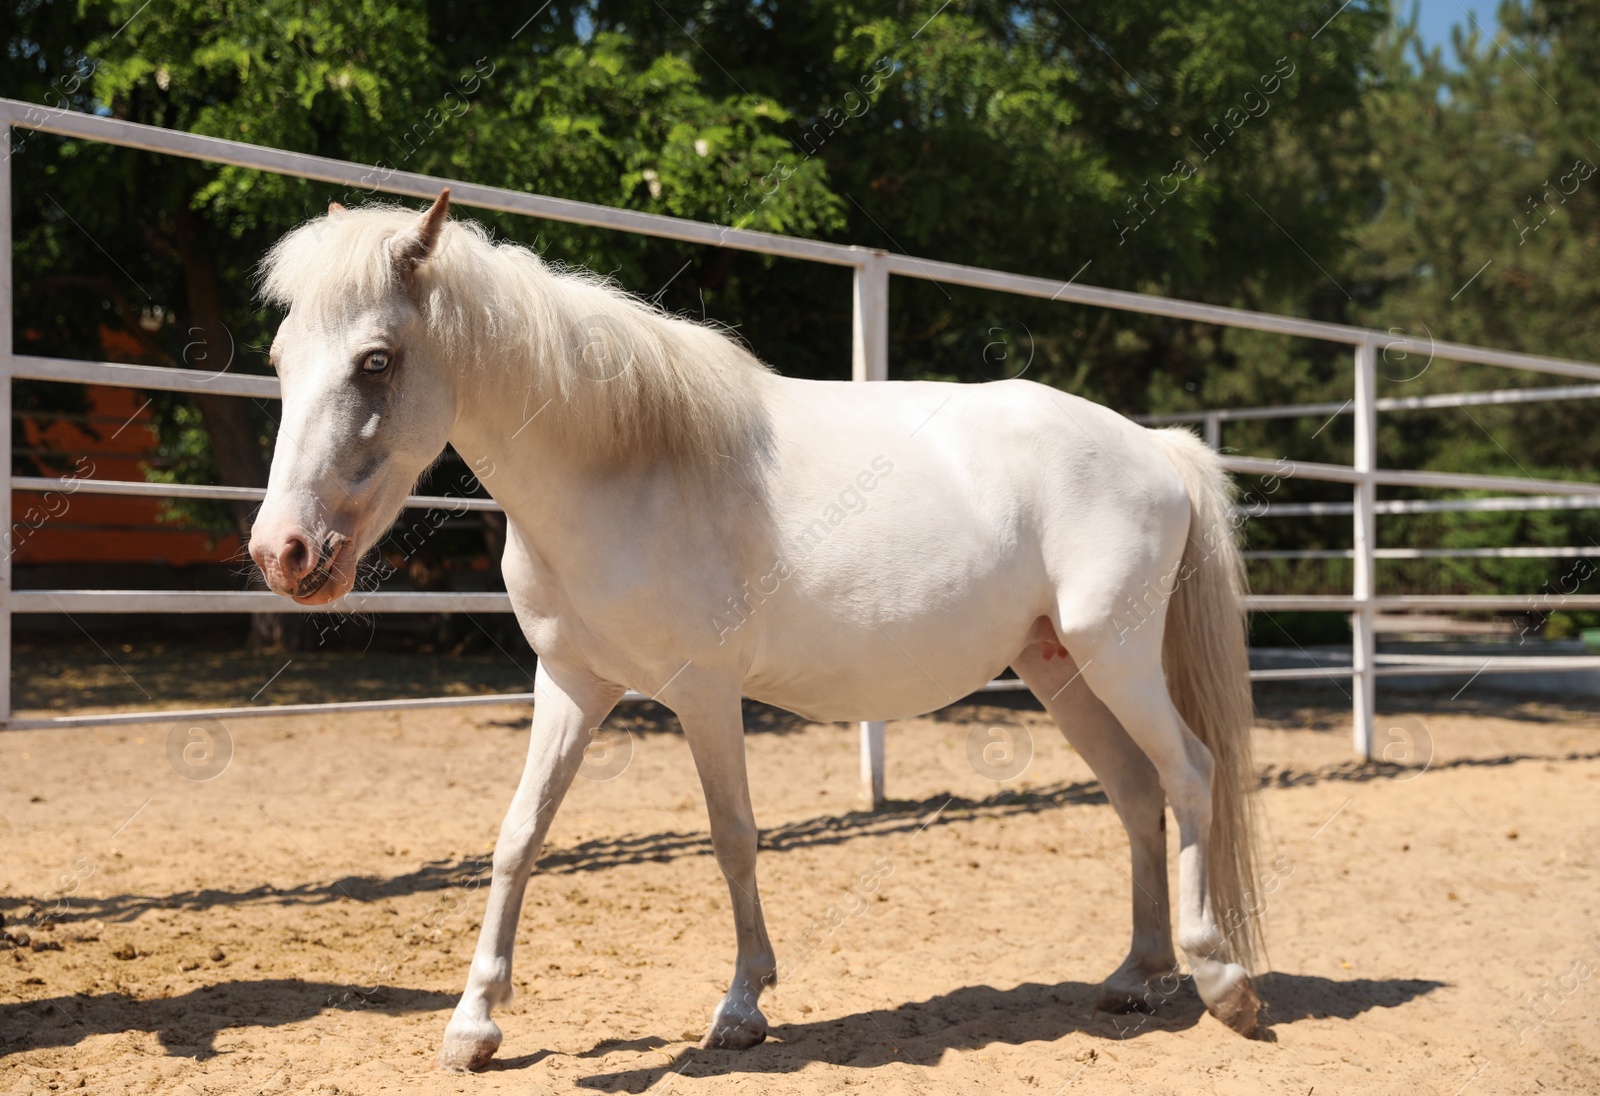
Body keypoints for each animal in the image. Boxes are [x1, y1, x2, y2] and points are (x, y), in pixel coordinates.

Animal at [249, 190, 1267, 1068]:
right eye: (279, 358)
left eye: (376, 361)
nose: (283, 553)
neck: (627, 470)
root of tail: (1155, 445)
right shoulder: (571, 683)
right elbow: (518, 836)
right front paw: (473, 1025)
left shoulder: (703, 692)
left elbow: (732, 835)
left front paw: (741, 1009)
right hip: (1059, 667)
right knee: (1136, 792)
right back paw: (1137, 977)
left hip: (1116, 656)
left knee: (1189, 773)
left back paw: (1221, 981)